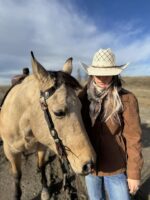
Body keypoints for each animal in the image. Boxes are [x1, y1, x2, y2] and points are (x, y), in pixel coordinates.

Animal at [0, 53, 95, 200]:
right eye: (58, 113)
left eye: (80, 107)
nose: (89, 165)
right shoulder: (10, 150)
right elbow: (17, 175)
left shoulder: (42, 146)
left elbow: (42, 165)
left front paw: (45, 189)